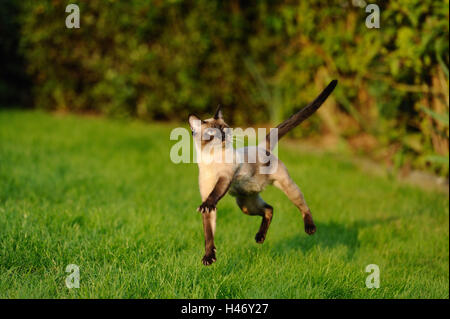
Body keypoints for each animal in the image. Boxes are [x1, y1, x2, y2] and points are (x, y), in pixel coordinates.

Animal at [187, 79, 338, 264]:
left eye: (225, 128)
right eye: (212, 132)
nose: (223, 135)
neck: (211, 159)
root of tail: (261, 146)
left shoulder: (225, 177)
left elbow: (214, 195)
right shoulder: (208, 195)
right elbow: (209, 234)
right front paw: (209, 258)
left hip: (287, 187)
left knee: (303, 206)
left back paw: (310, 228)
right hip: (245, 204)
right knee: (269, 209)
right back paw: (260, 238)